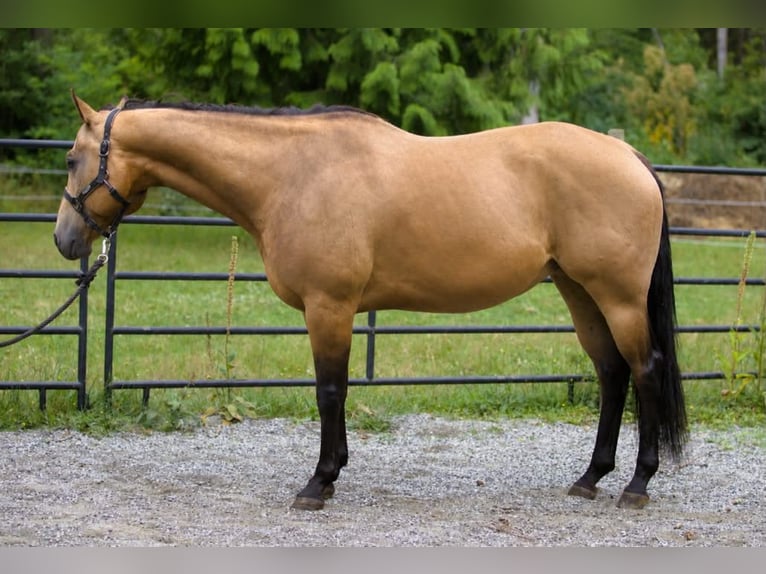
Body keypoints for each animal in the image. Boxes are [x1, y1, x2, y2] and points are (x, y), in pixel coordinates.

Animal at [54, 92, 687, 511]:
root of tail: (629, 157)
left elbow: (329, 391)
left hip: (617, 297)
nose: (65, 240)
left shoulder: (328, 307)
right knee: (611, 373)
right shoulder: (338, 311)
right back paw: (590, 478)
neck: (292, 175)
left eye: (70, 158)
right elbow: (339, 391)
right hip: (580, 292)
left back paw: (637, 485)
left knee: (644, 369)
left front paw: (317, 483)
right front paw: (334, 471)